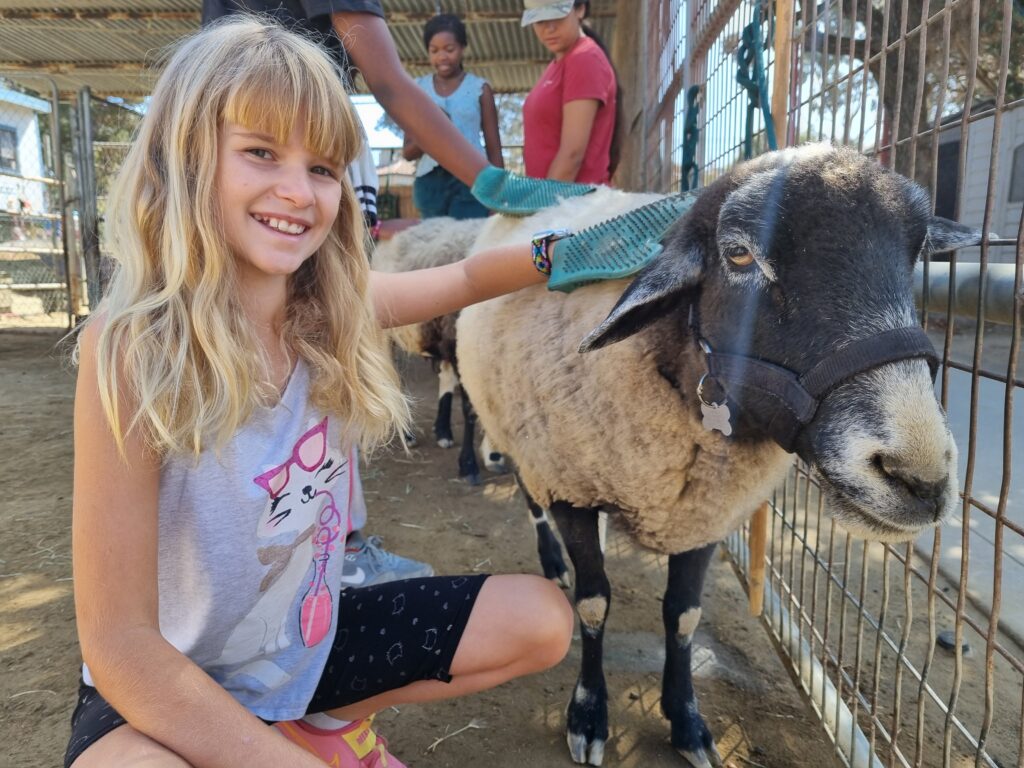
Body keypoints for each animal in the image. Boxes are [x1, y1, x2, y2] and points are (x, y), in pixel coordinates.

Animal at [454, 145, 974, 768]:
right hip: (513, 429)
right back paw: (553, 561)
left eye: (917, 253)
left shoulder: (705, 509)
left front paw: (687, 721)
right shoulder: (570, 485)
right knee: (529, 496)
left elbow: (683, 616)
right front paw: (588, 713)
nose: (919, 479)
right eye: (739, 253)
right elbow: (593, 604)